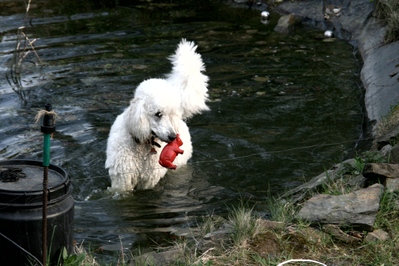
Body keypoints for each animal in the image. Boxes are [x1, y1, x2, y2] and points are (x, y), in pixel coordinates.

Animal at [104, 39, 209, 191]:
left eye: (171, 115)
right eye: (158, 114)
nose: (172, 137)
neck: (142, 144)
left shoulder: (149, 180)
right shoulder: (122, 180)